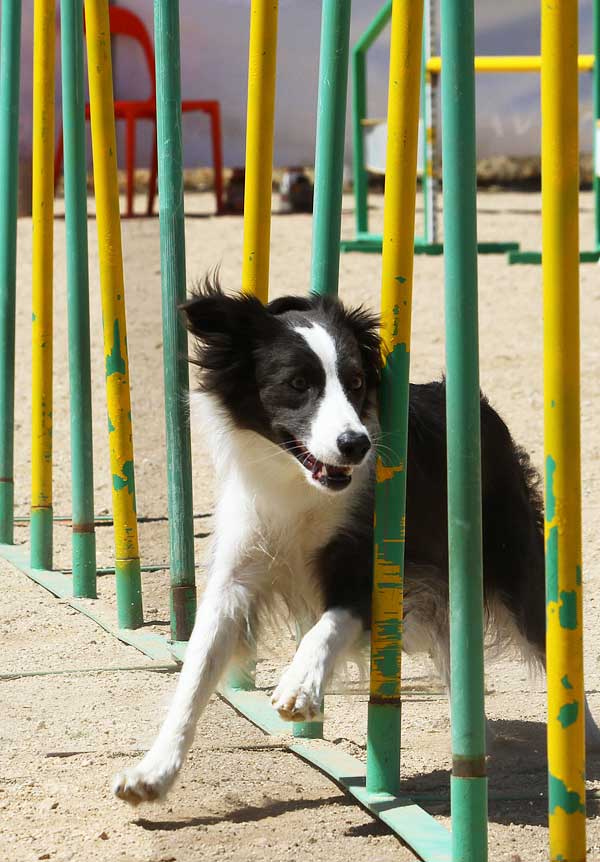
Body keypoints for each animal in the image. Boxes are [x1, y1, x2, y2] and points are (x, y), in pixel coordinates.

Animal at [115, 280, 596, 808]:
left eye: (357, 382)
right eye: (298, 383)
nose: (355, 444)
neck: (301, 487)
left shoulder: (374, 572)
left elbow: (326, 627)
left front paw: (300, 687)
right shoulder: (238, 572)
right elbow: (196, 671)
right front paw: (153, 772)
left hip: (510, 561)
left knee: (550, 644)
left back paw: (581, 744)